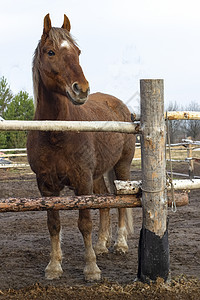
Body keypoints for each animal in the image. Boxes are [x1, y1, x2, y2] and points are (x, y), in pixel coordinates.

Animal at [26, 14, 135, 282]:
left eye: (78, 52)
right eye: (51, 52)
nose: (81, 89)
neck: (57, 133)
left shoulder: (82, 181)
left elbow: (85, 222)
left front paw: (91, 268)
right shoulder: (46, 185)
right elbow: (53, 223)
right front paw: (54, 266)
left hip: (121, 168)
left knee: (121, 202)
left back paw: (120, 244)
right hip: (97, 175)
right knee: (105, 201)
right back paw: (102, 245)